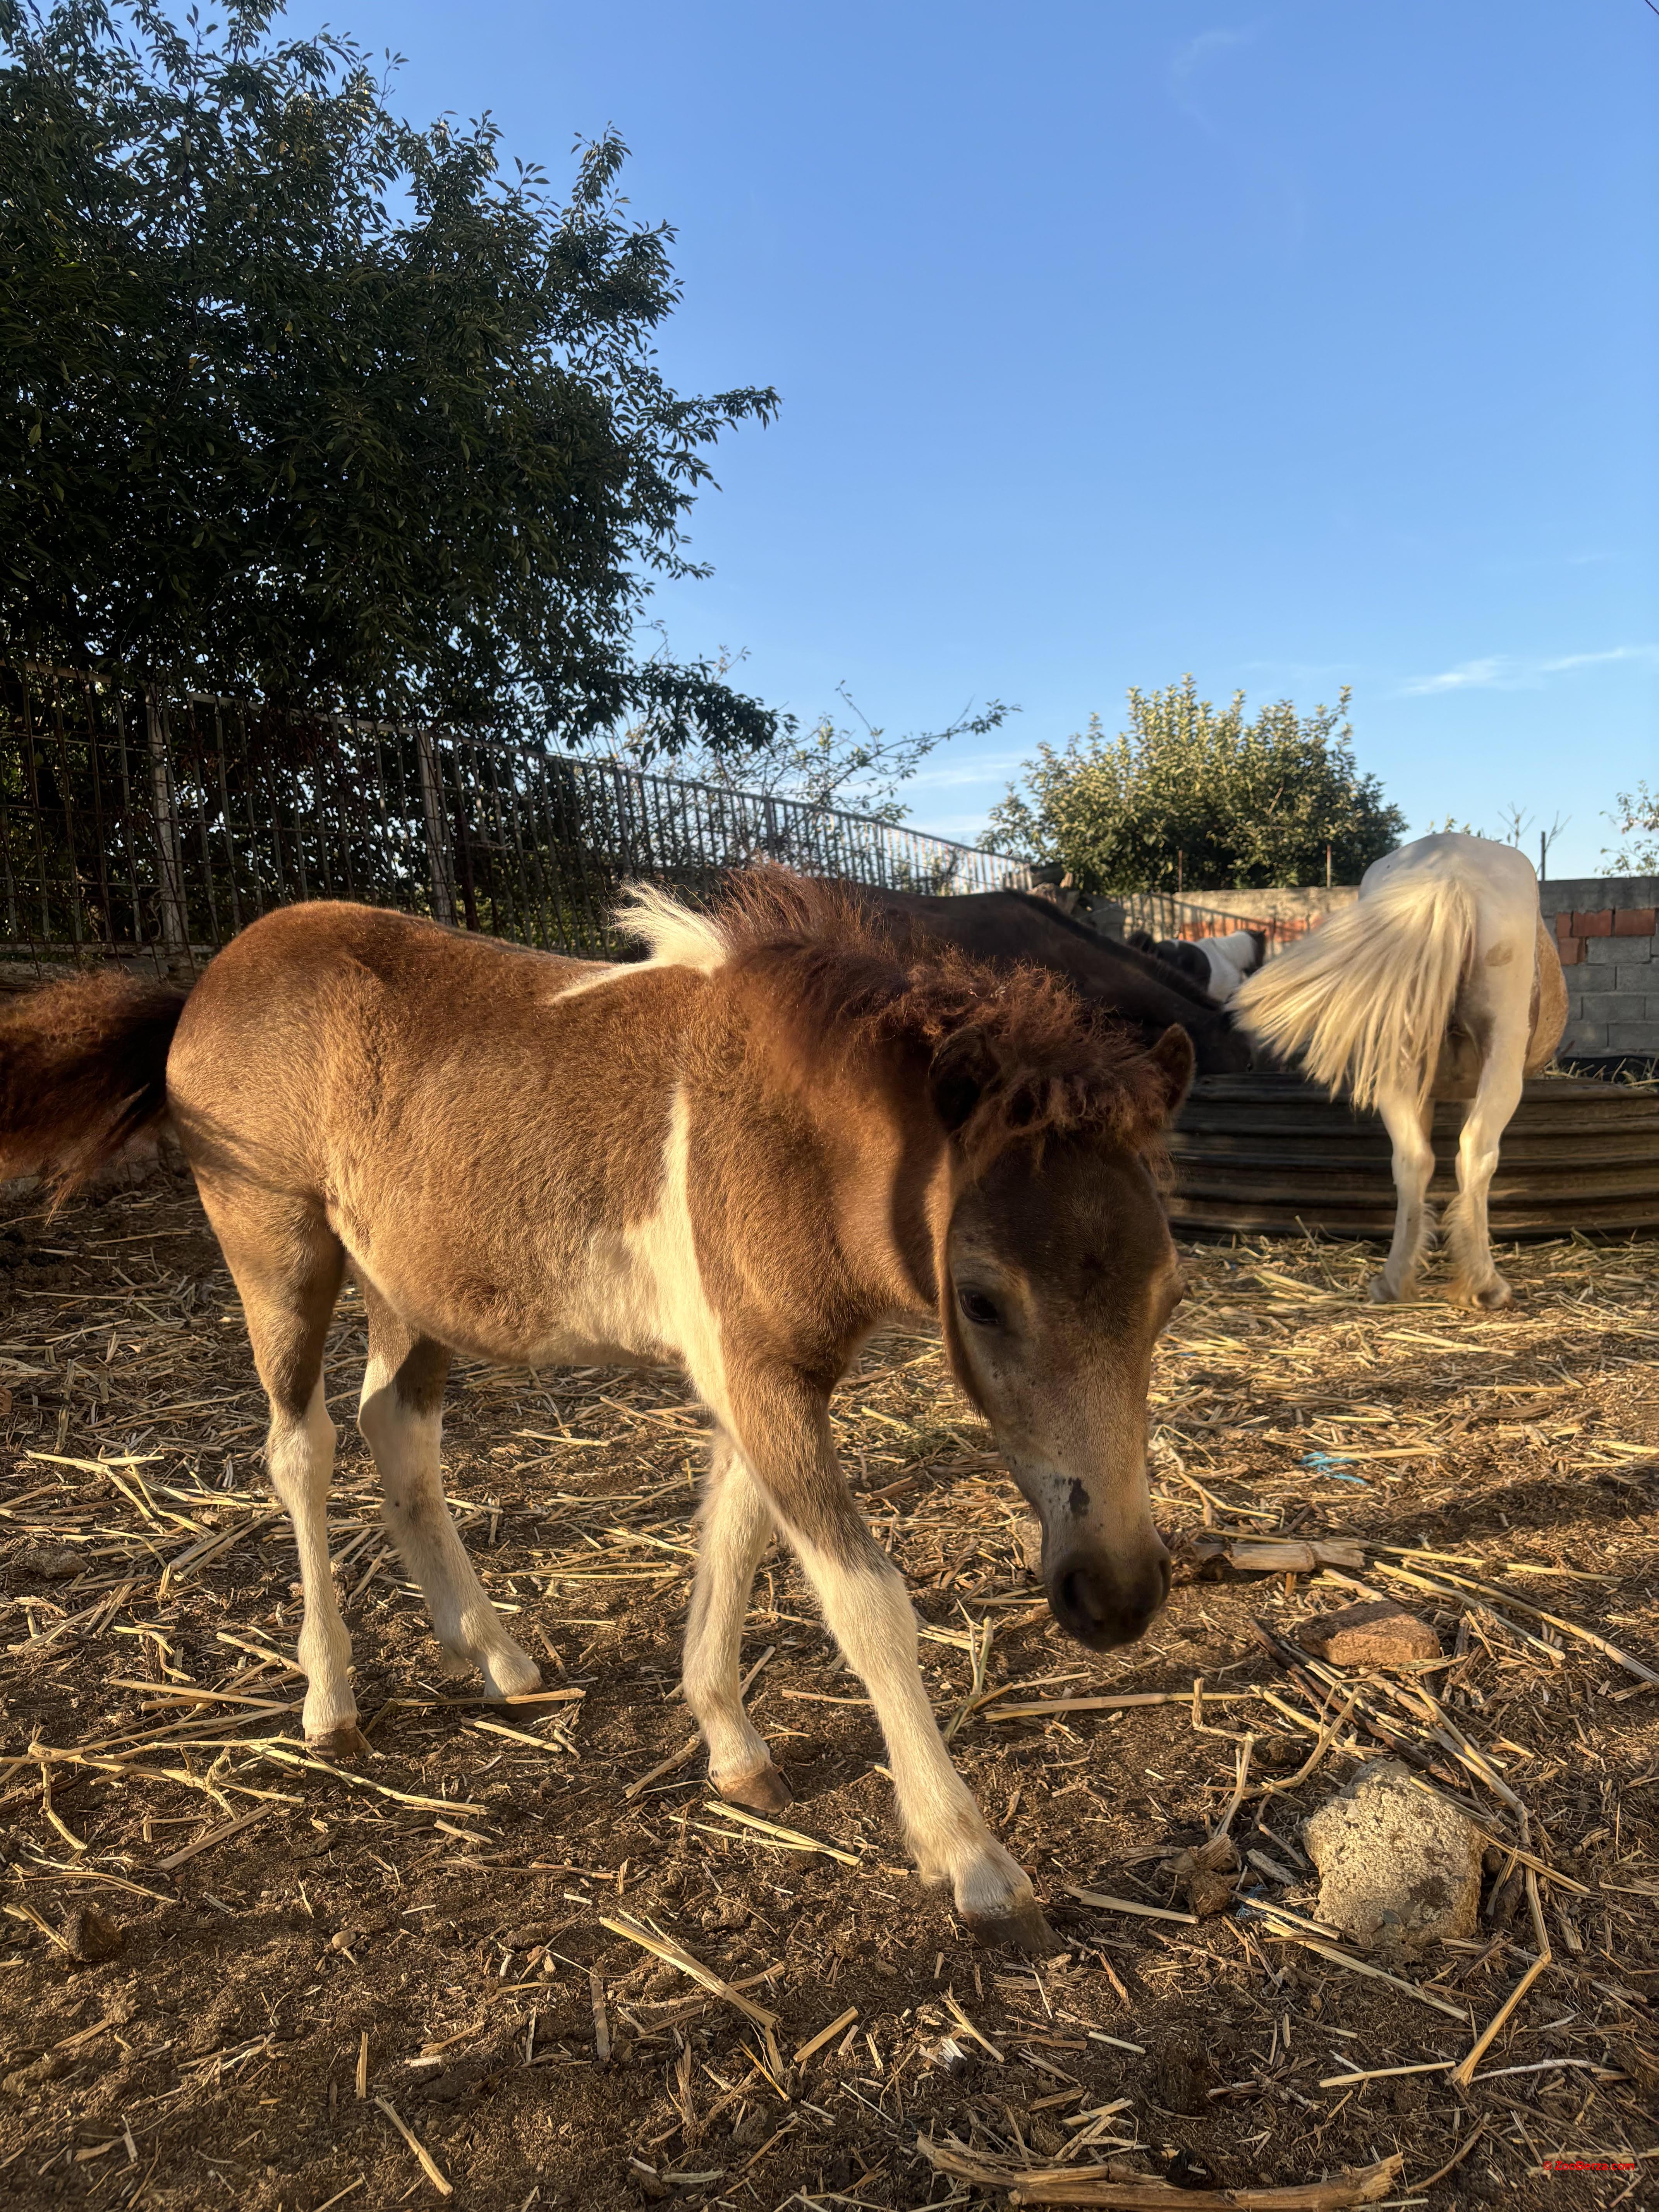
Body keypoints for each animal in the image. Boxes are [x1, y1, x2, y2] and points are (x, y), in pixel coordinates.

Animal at [0, 871, 1194, 1946]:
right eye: (981, 1299)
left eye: (1168, 1298)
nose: (1117, 1597)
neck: (783, 1134)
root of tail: (206, 978)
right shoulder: (759, 1376)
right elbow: (865, 1602)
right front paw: (970, 1857)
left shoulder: (763, 1373)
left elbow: (732, 1537)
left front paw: (731, 1746)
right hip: (278, 1252)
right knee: (303, 1451)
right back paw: (330, 1701)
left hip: (411, 1280)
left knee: (397, 1433)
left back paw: (494, 1657)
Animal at [1238, 836, 1575, 1300]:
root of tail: (1449, 872)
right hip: (1503, 1049)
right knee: (1477, 1151)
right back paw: (1485, 1284)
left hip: (1395, 1056)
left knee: (1411, 1158)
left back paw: (1394, 1281)